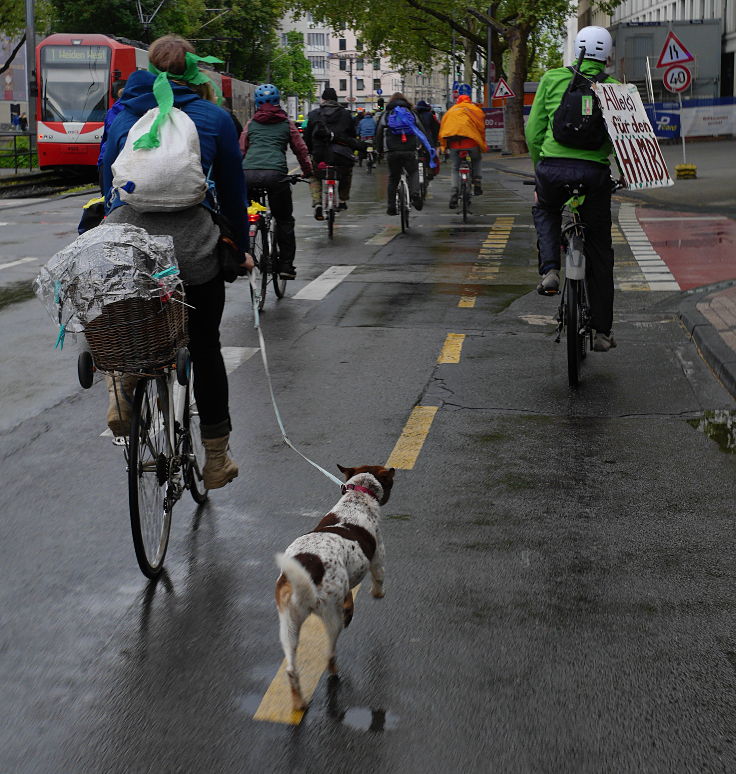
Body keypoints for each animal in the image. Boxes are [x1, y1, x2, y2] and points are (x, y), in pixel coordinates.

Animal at [274, 464, 394, 712]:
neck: (356, 498)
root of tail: (308, 571)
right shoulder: (378, 558)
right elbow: (378, 582)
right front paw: (377, 594)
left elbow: (349, 597)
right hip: (330, 618)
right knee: (329, 654)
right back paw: (334, 674)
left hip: (288, 625)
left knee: (291, 669)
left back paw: (299, 702)